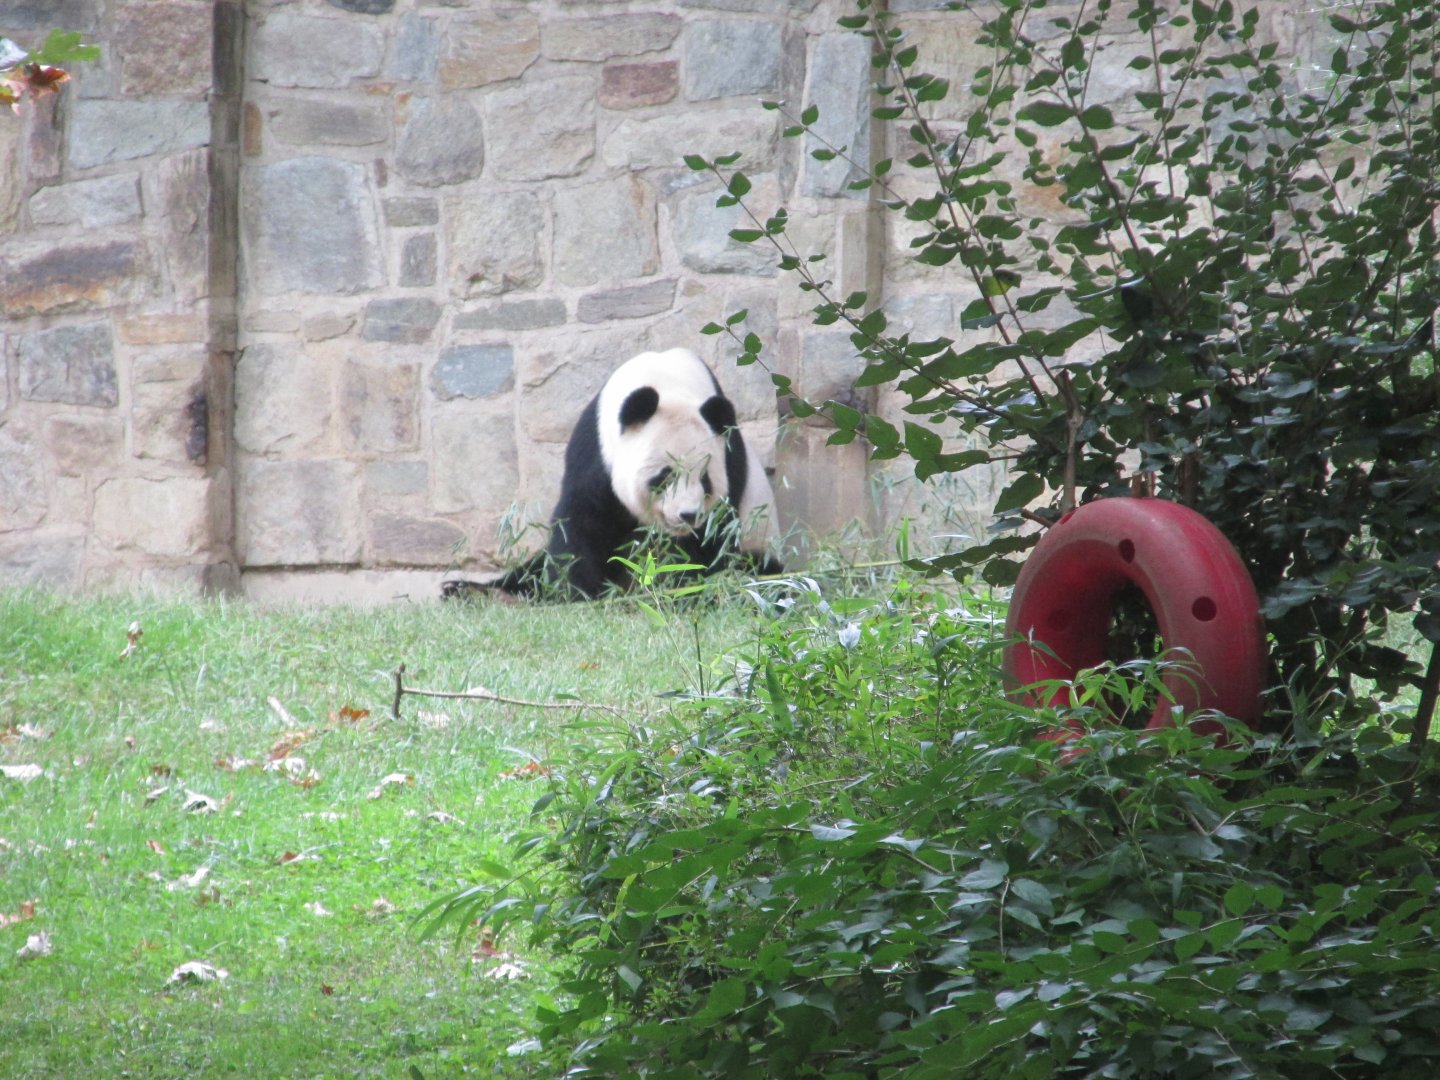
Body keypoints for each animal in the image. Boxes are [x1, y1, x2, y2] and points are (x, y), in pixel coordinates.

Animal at [442, 347, 782, 600]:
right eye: (665, 476)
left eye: (705, 480)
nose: (687, 515)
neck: (667, 382)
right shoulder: (596, 451)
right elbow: (581, 523)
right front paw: (578, 593)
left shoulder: (730, 459)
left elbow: (712, 539)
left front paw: (681, 589)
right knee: (531, 569)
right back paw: (474, 592)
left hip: (761, 546)